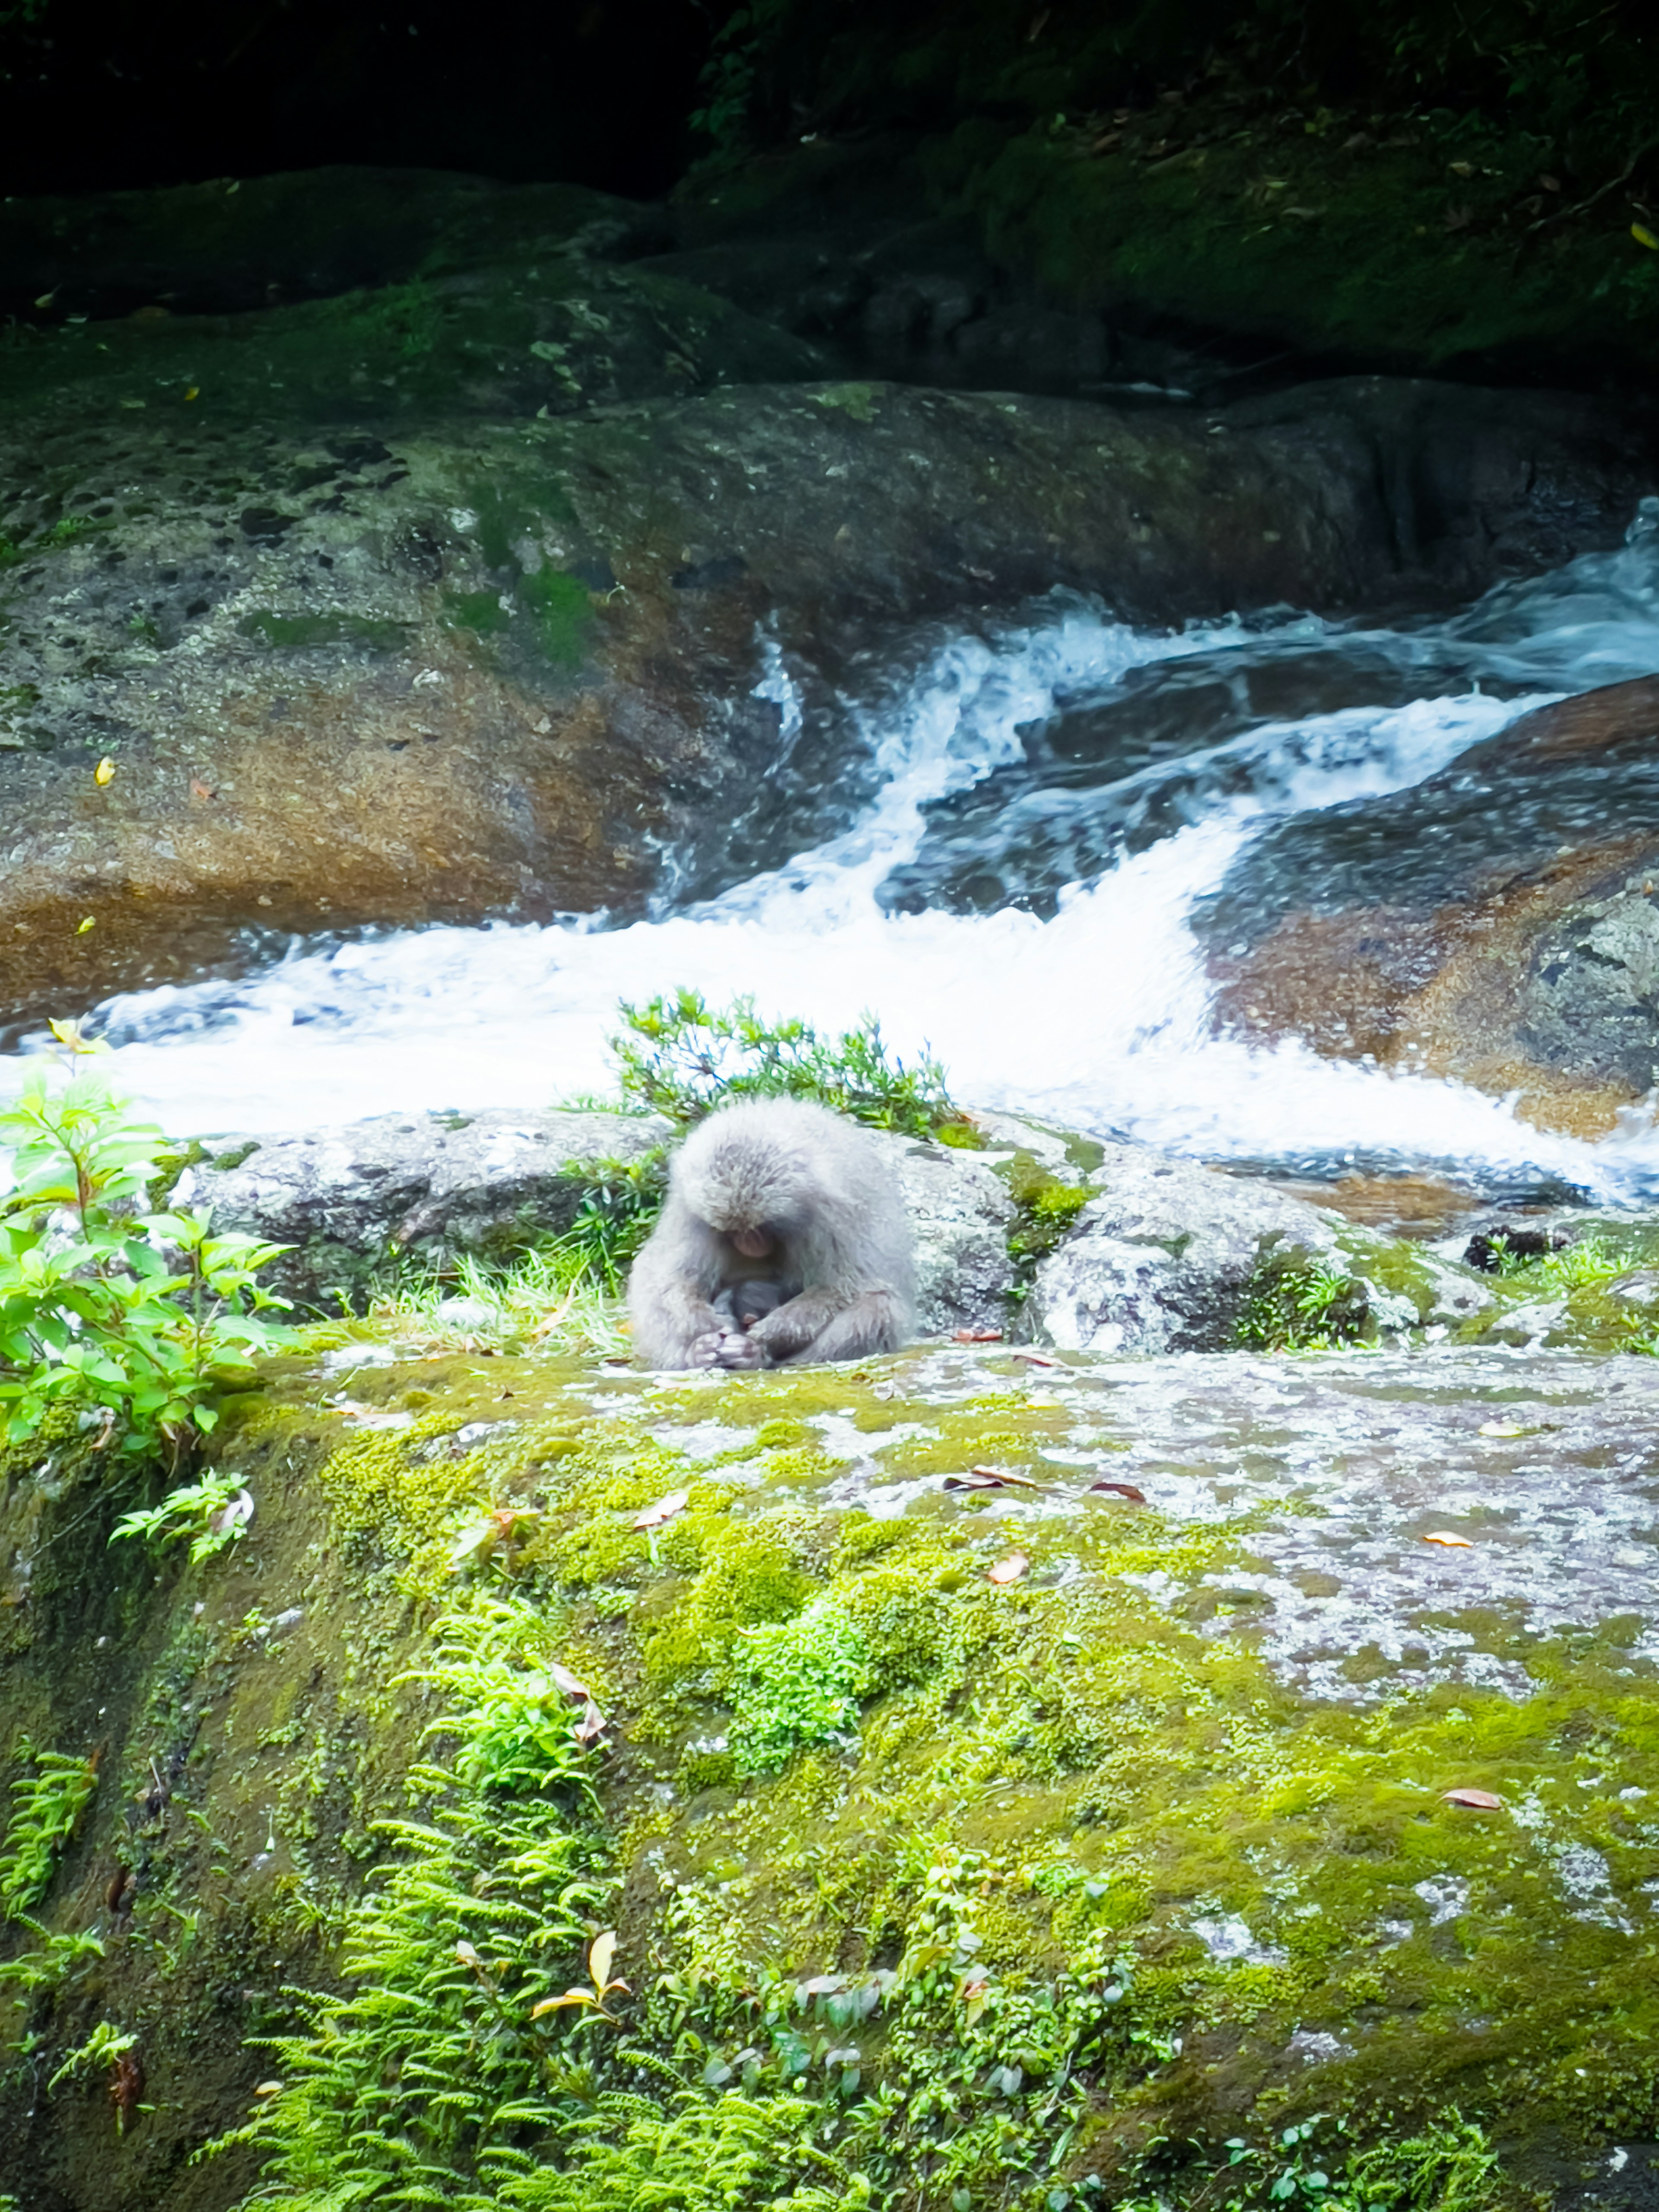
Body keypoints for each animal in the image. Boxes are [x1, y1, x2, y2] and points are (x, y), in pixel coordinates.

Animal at [628, 1097, 925, 1371]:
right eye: (733, 1230)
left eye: (759, 1227)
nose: (749, 1245)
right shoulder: (689, 1209)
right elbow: (670, 1280)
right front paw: (709, 1328)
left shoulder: (833, 1215)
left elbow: (846, 1286)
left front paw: (766, 1334)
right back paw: (696, 1353)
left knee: (880, 1307)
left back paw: (759, 1356)